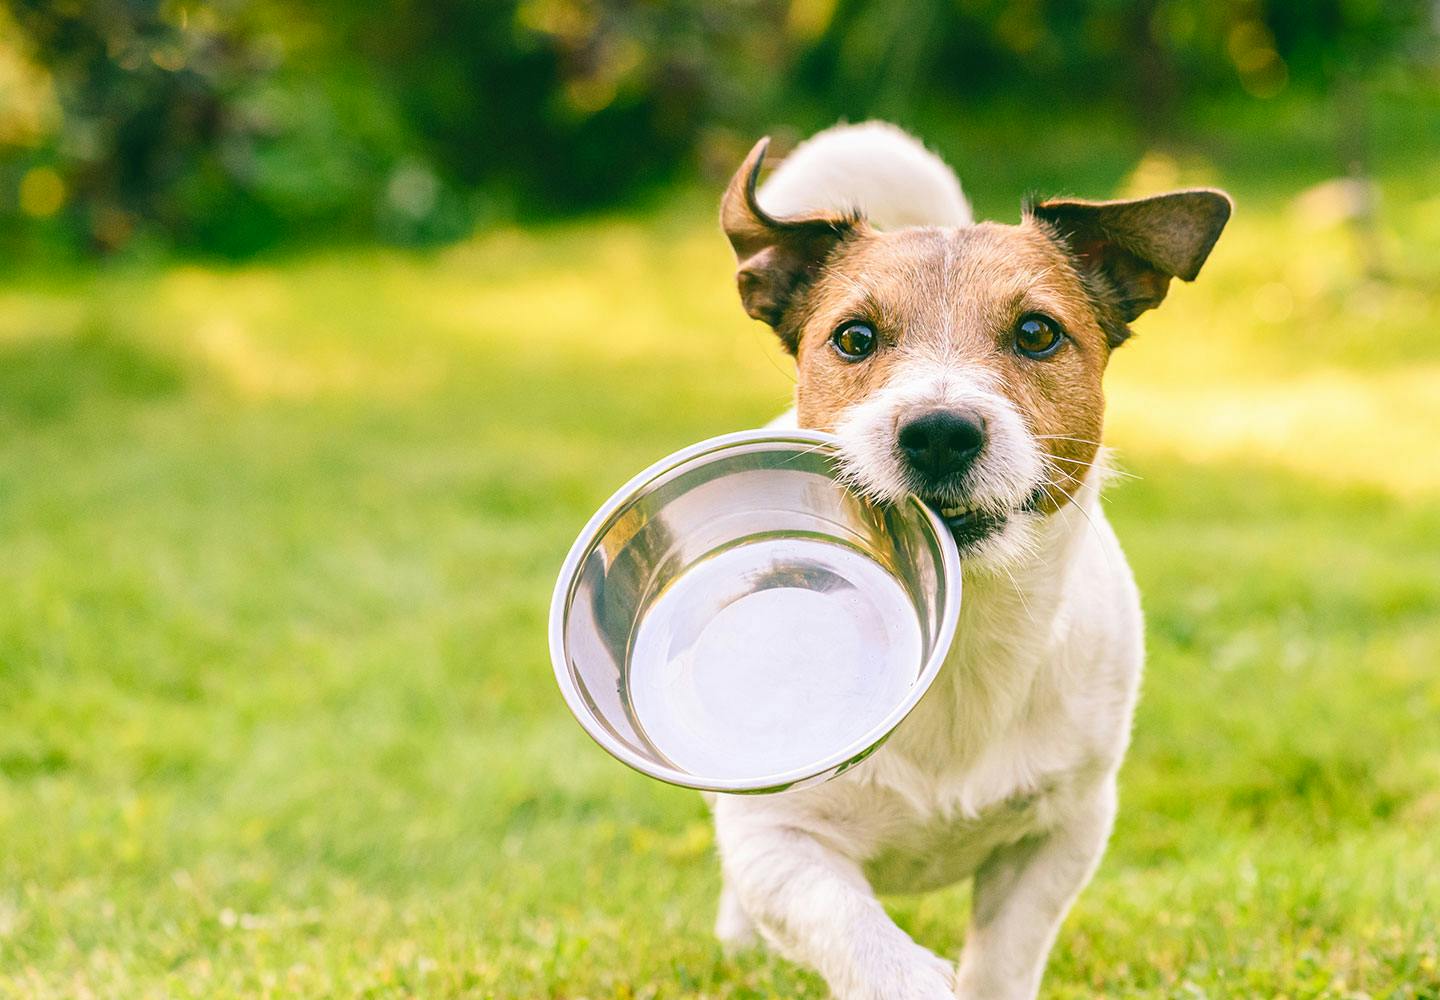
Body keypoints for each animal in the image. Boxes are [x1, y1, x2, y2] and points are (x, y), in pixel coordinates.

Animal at [708, 125, 1226, 1000]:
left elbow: (1003, 959)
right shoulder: (778, 840)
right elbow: (855, 933)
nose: (940, 432)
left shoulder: (1062, 834)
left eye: (1037, 332)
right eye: (854, 338)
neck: (963, 636)